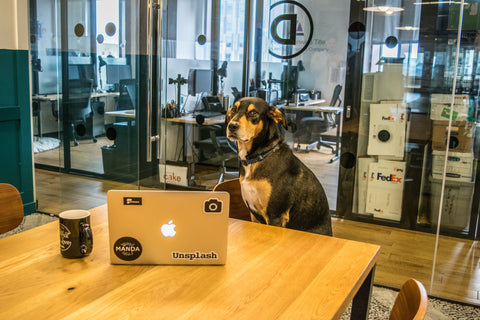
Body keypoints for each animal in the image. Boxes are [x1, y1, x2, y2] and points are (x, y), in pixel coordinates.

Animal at [224, 97, 330, 235]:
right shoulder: (254, 215)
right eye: (234, 110)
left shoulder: (276, 216)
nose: (232, 126)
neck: (259, 157)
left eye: (253, 113)